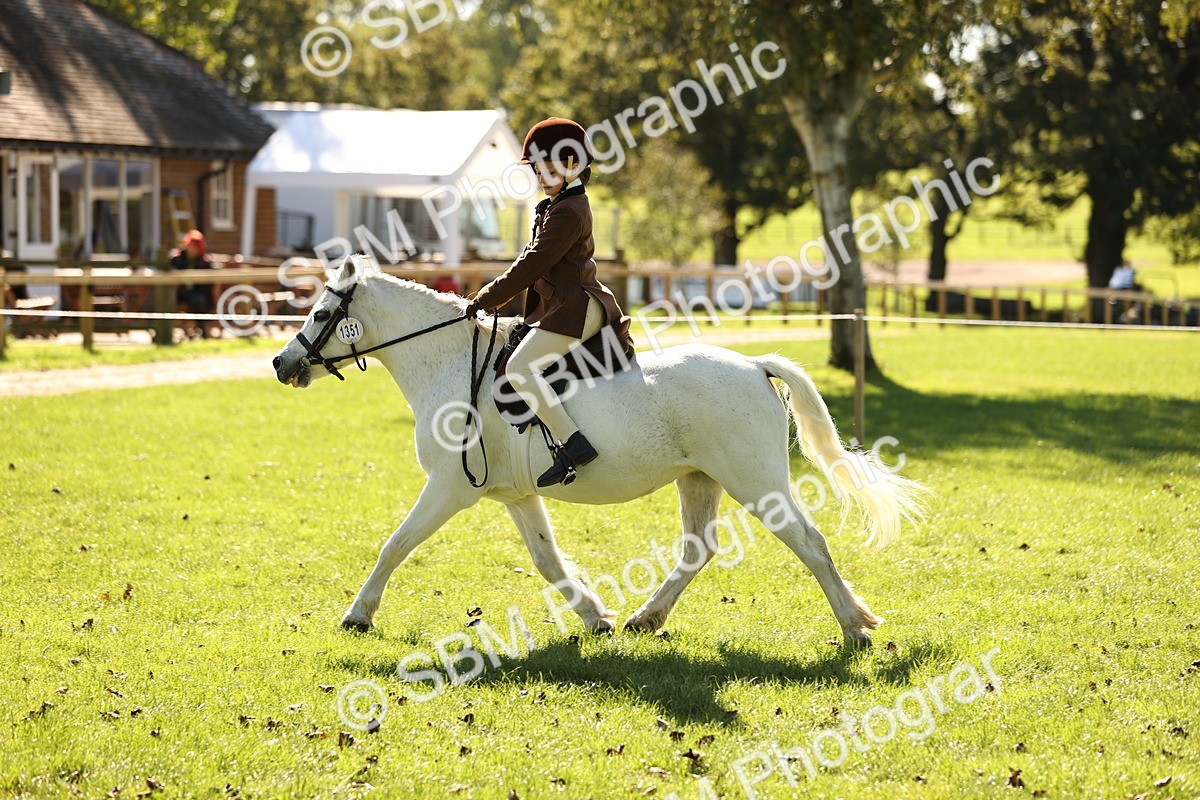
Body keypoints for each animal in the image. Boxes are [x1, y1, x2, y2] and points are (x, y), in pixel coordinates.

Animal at [271, 255, 927, 645]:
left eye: (322, 310)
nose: (282, 364)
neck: (451, 364)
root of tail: (753, 365)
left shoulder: (449, 489)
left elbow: (394, 545)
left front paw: (358, 615)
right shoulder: (514, 496)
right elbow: (548, 561)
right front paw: (595, 616)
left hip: (755, 481)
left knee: (809, 543)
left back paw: (856, 627)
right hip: (700, 478)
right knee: (698, 549)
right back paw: (645, 617)